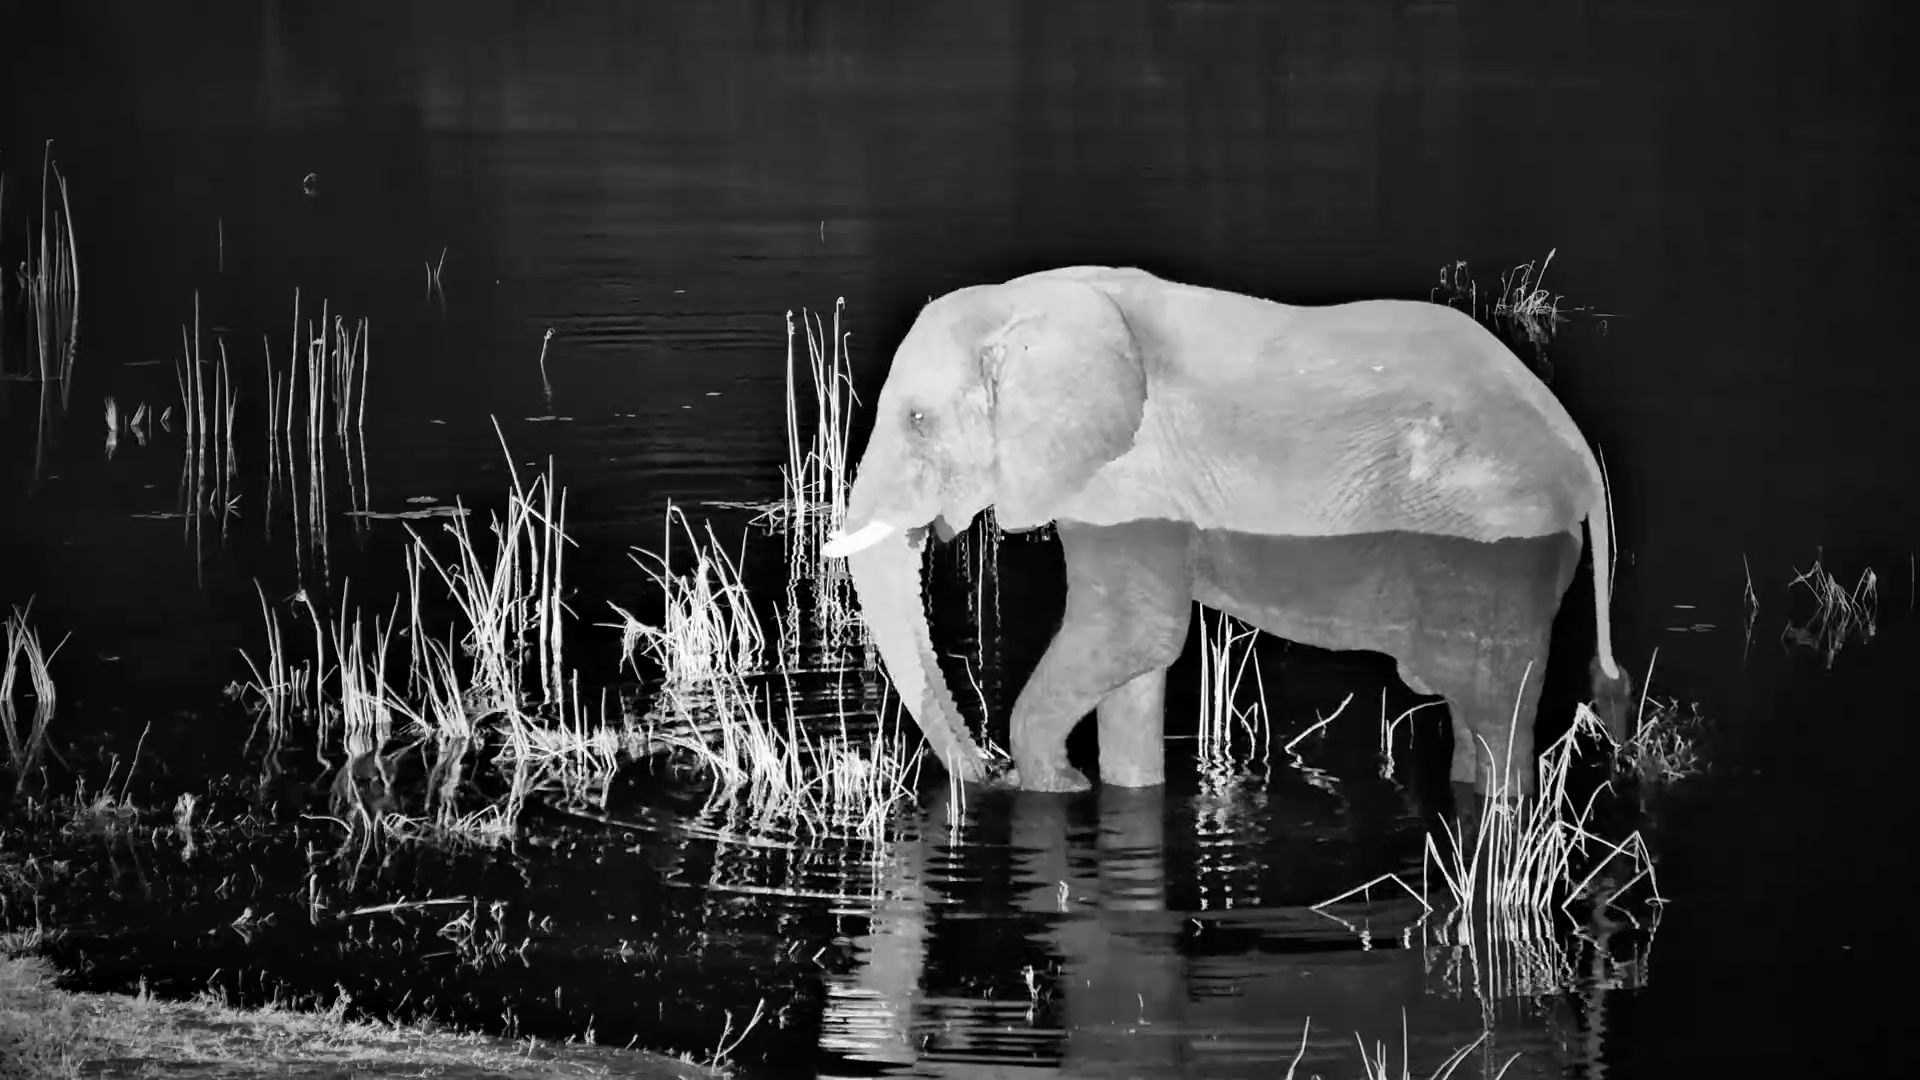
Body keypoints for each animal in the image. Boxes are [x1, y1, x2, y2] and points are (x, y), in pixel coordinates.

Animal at [822, 266, 1632, 796]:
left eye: (918, 421)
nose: (988, 772)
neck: (1026, 300)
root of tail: (1580, 457)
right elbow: (1136, 666)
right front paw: (1110, 789)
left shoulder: (1130, 476)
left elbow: (1132, 634)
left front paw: (1054, 787)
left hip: (1495, 547)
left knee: (1492, 710)